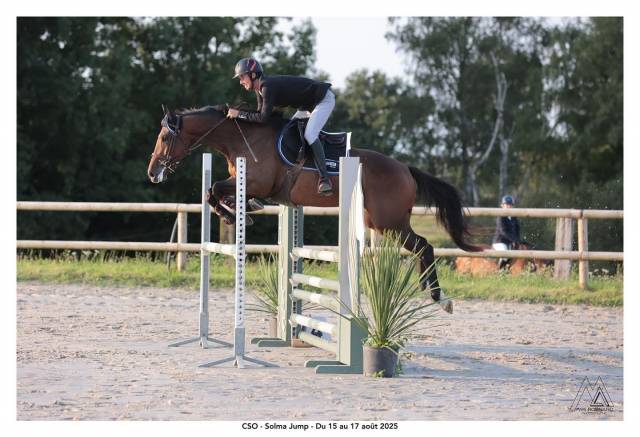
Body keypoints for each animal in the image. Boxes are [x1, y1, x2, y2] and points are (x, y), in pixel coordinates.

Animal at [147, 105, 482, 313]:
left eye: (163, 137)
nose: (153, 173)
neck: (243, 138)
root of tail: (405, 169)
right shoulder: (248, 185)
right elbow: (216, 193)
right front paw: (239, 212)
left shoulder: (256, 182)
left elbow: (214, 189)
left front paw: (233, 215)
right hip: (378, 222)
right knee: (420, 247)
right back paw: (428, 290)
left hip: (390, 222)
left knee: (424, 246)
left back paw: (439, 298)